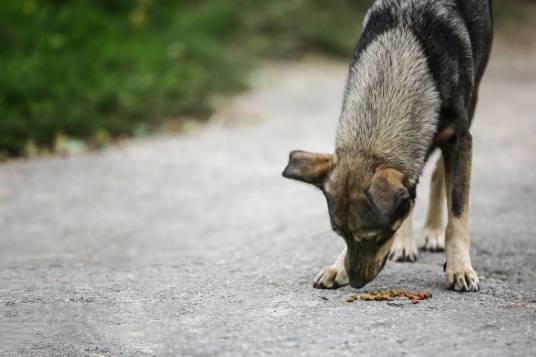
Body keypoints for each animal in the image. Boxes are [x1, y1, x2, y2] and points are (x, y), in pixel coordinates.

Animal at [282, 0, 492, 290]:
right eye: (340, 234)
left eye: (372, 238)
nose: (355, 283)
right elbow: (407, 203)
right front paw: (338, 266)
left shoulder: (459, 140)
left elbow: (458, 214)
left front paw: (459, 267)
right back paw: (405, 244)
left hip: (472, 100)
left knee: (437, 176)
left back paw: (433, 231)